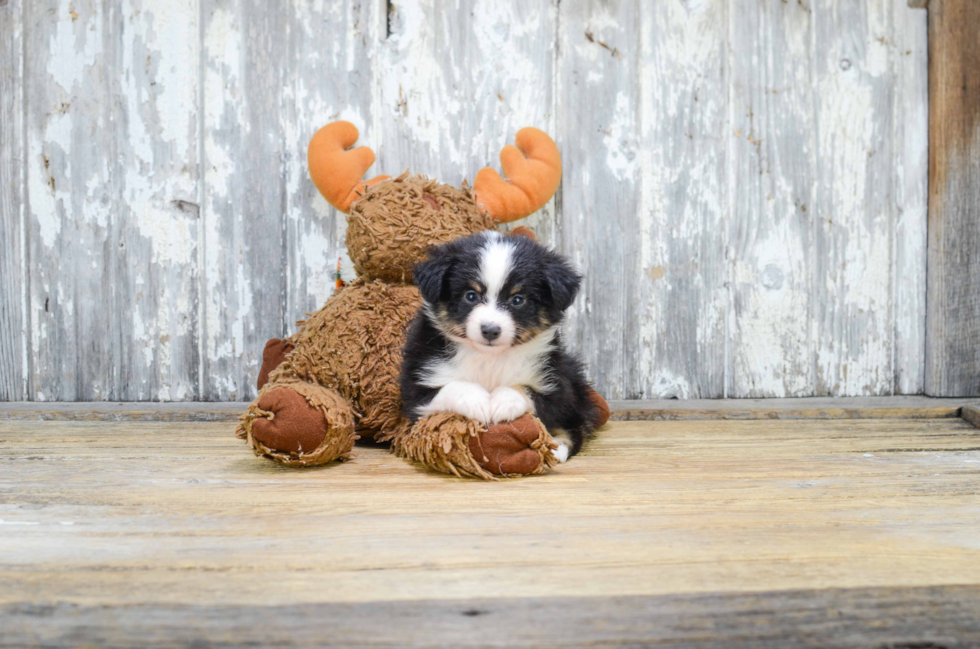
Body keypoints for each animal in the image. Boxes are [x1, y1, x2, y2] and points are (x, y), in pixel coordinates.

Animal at [400, 230, 600, 464]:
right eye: (470, 295)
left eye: (517, 299)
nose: (490, 330)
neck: (490, 358)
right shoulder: (416, 388)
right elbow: (450, 387)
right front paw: (477, 401)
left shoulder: (557, 385)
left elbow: (528, 391)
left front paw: (502, 401)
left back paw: (556, 447)